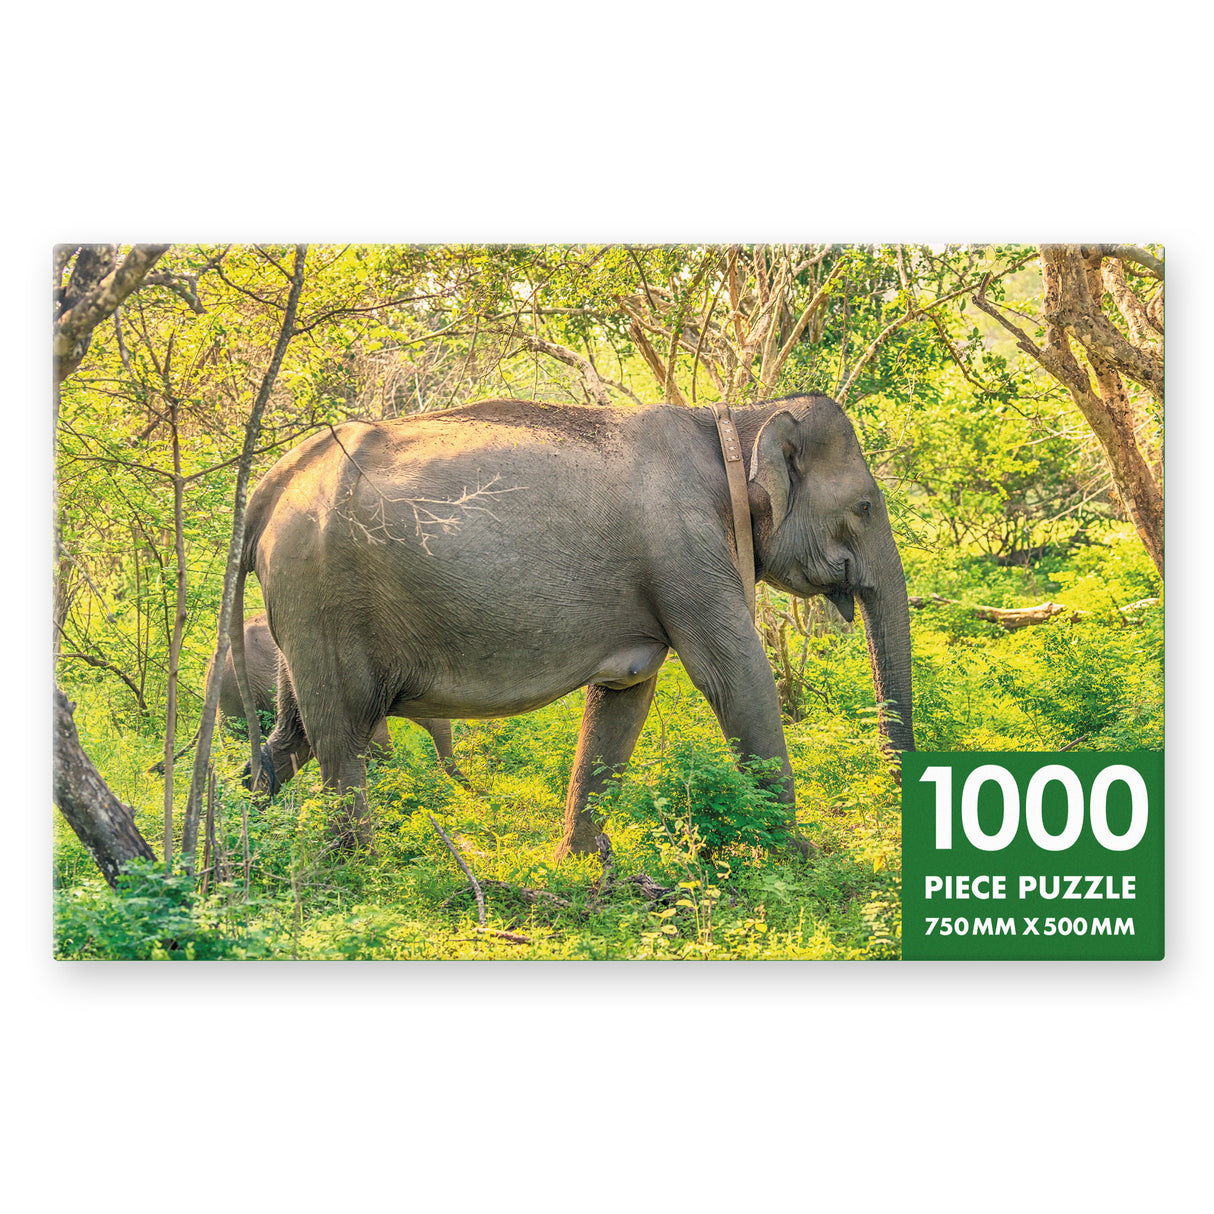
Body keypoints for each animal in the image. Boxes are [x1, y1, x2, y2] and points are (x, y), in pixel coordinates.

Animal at [234, 393, 914, 857]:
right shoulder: (685, 549)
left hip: (302, 610)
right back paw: (359, 869)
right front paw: (804, 857)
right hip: (321, 594)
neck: (729, 418)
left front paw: (583, 862)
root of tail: (273, 482)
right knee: (339, 737)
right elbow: (736, 677)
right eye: (864, 506)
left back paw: (238, 858)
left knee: (293, 735)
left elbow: (625, 693)